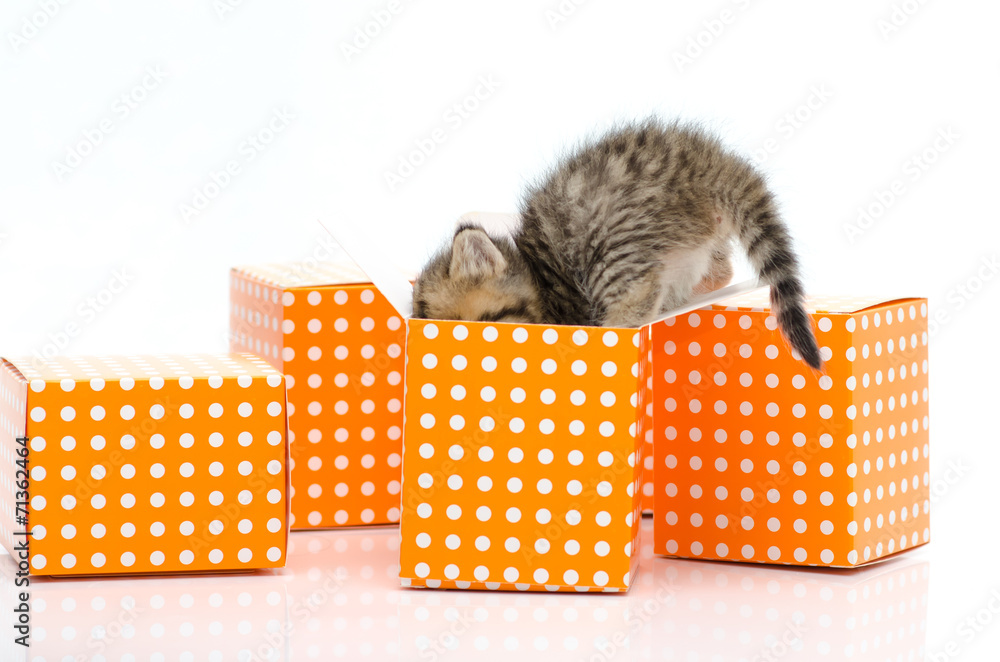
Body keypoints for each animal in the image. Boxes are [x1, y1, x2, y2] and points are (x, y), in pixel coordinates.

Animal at [410, 117, 824, 370]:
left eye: (478, 323)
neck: (539, 278)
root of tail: (707, 163)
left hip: (608, 240)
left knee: (639, 293)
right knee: (719, 271)